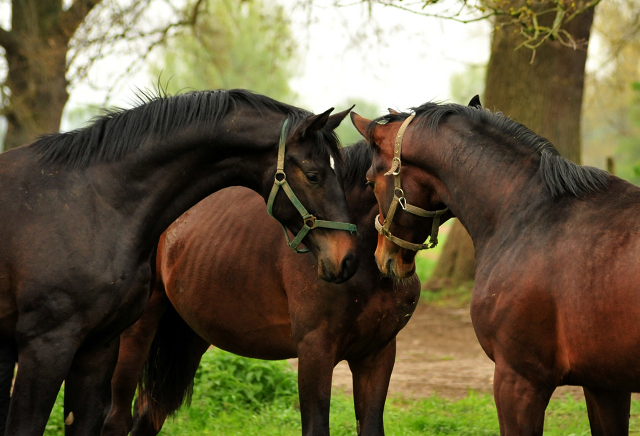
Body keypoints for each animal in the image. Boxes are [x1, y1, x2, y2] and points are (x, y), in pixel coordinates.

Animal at [100, 142, 420, 436]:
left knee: (149, 416)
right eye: (313, 177)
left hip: (190, 335)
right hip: (138, 331)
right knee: (117, 417)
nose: (342, 260)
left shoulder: (377, 354)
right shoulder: (315, 351)